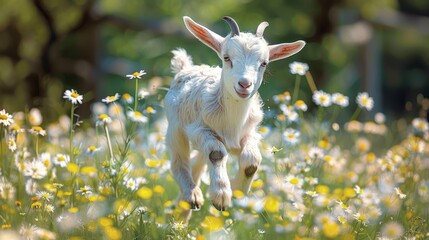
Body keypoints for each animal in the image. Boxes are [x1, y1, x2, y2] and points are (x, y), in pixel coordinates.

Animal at [165, 14, 304, 218]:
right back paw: (192, 196)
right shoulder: (198, 129)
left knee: (197, 163)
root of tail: (186, 68)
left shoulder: (248, 134)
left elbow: (252, 160)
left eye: (264, 63)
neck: (231, 123)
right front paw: (221, 196)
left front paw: (238, 190)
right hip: (176, 129)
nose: (244, 84)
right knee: (179, 163)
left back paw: (183, 207)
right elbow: (216, 153)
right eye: (226, 57)